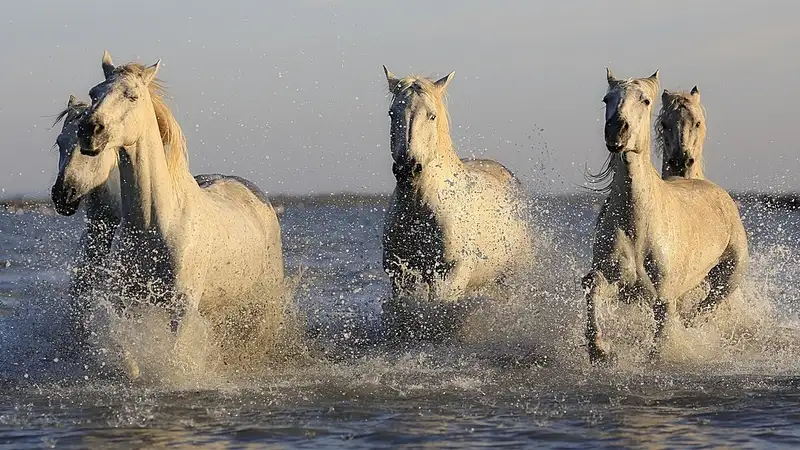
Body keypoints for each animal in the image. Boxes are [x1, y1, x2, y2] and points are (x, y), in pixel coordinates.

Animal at [76, 51, 288, 370]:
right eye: (93, 93)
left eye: (132, 95)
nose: (90, 131)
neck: (152, 224)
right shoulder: (129, 300)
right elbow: (126, 350)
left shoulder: (182, 306)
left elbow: (175, 354)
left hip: (265, 297)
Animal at [380, 67, 532, 340]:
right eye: (392, 113)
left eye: (431, 116)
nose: (407, 169)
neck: (420, 208)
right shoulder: (400, 274)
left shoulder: (451, 273)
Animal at [580, 69, 752, 362]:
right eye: (606, 99)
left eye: (645, 100)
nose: (616, 131)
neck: (638, 223)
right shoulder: (616, 281)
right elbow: (593, 287)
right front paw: (599, 349)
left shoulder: (663, 299)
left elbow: (660, 342)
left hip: (727, 279)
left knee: (704, 308)